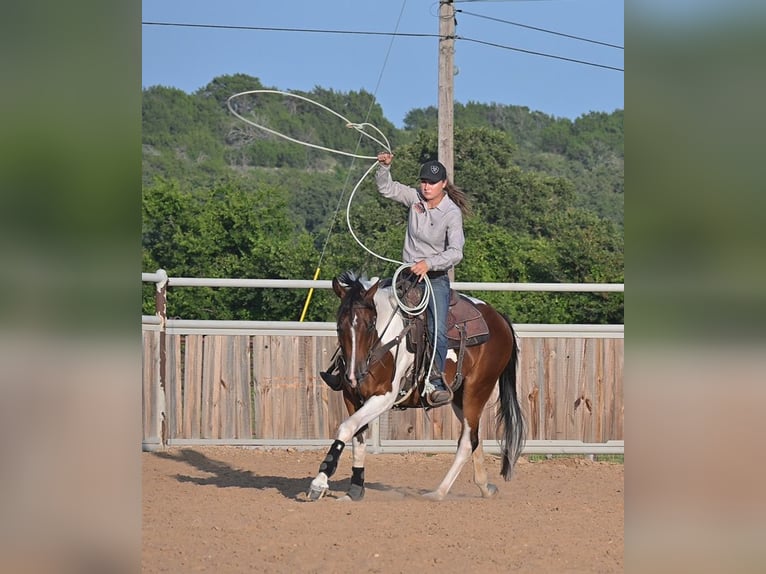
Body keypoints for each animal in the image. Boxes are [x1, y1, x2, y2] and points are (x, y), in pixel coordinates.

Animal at [307, 271, 526, 502]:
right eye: (339, 326)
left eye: (370, 324)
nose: (354, 375)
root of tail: (499, 318)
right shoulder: (351, 397)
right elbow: (357, 437)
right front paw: (355, 490)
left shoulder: (384, 397)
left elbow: (346, 428)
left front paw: (319, 482)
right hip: (459, 397)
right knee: (475, 436)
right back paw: (485, 487)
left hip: (477, 390)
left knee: (467, 442)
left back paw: (438, 492)